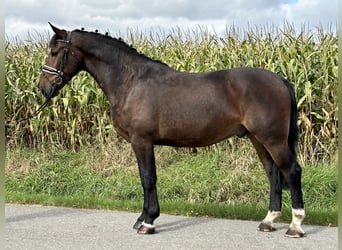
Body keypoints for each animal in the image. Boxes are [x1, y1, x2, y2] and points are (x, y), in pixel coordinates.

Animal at [39, 23, 304, 238]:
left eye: (54, 52)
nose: (43, 87)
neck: (131, 81)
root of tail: (280, 80)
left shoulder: (142, 141)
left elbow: (148, 178)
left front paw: (148, 222)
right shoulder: (140, 143)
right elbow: (144, 178)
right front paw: (142, 218)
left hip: (272, 139)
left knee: (291, 171)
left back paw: (295, 226)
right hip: (258, 139)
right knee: (273, 173)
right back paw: (268, 221)